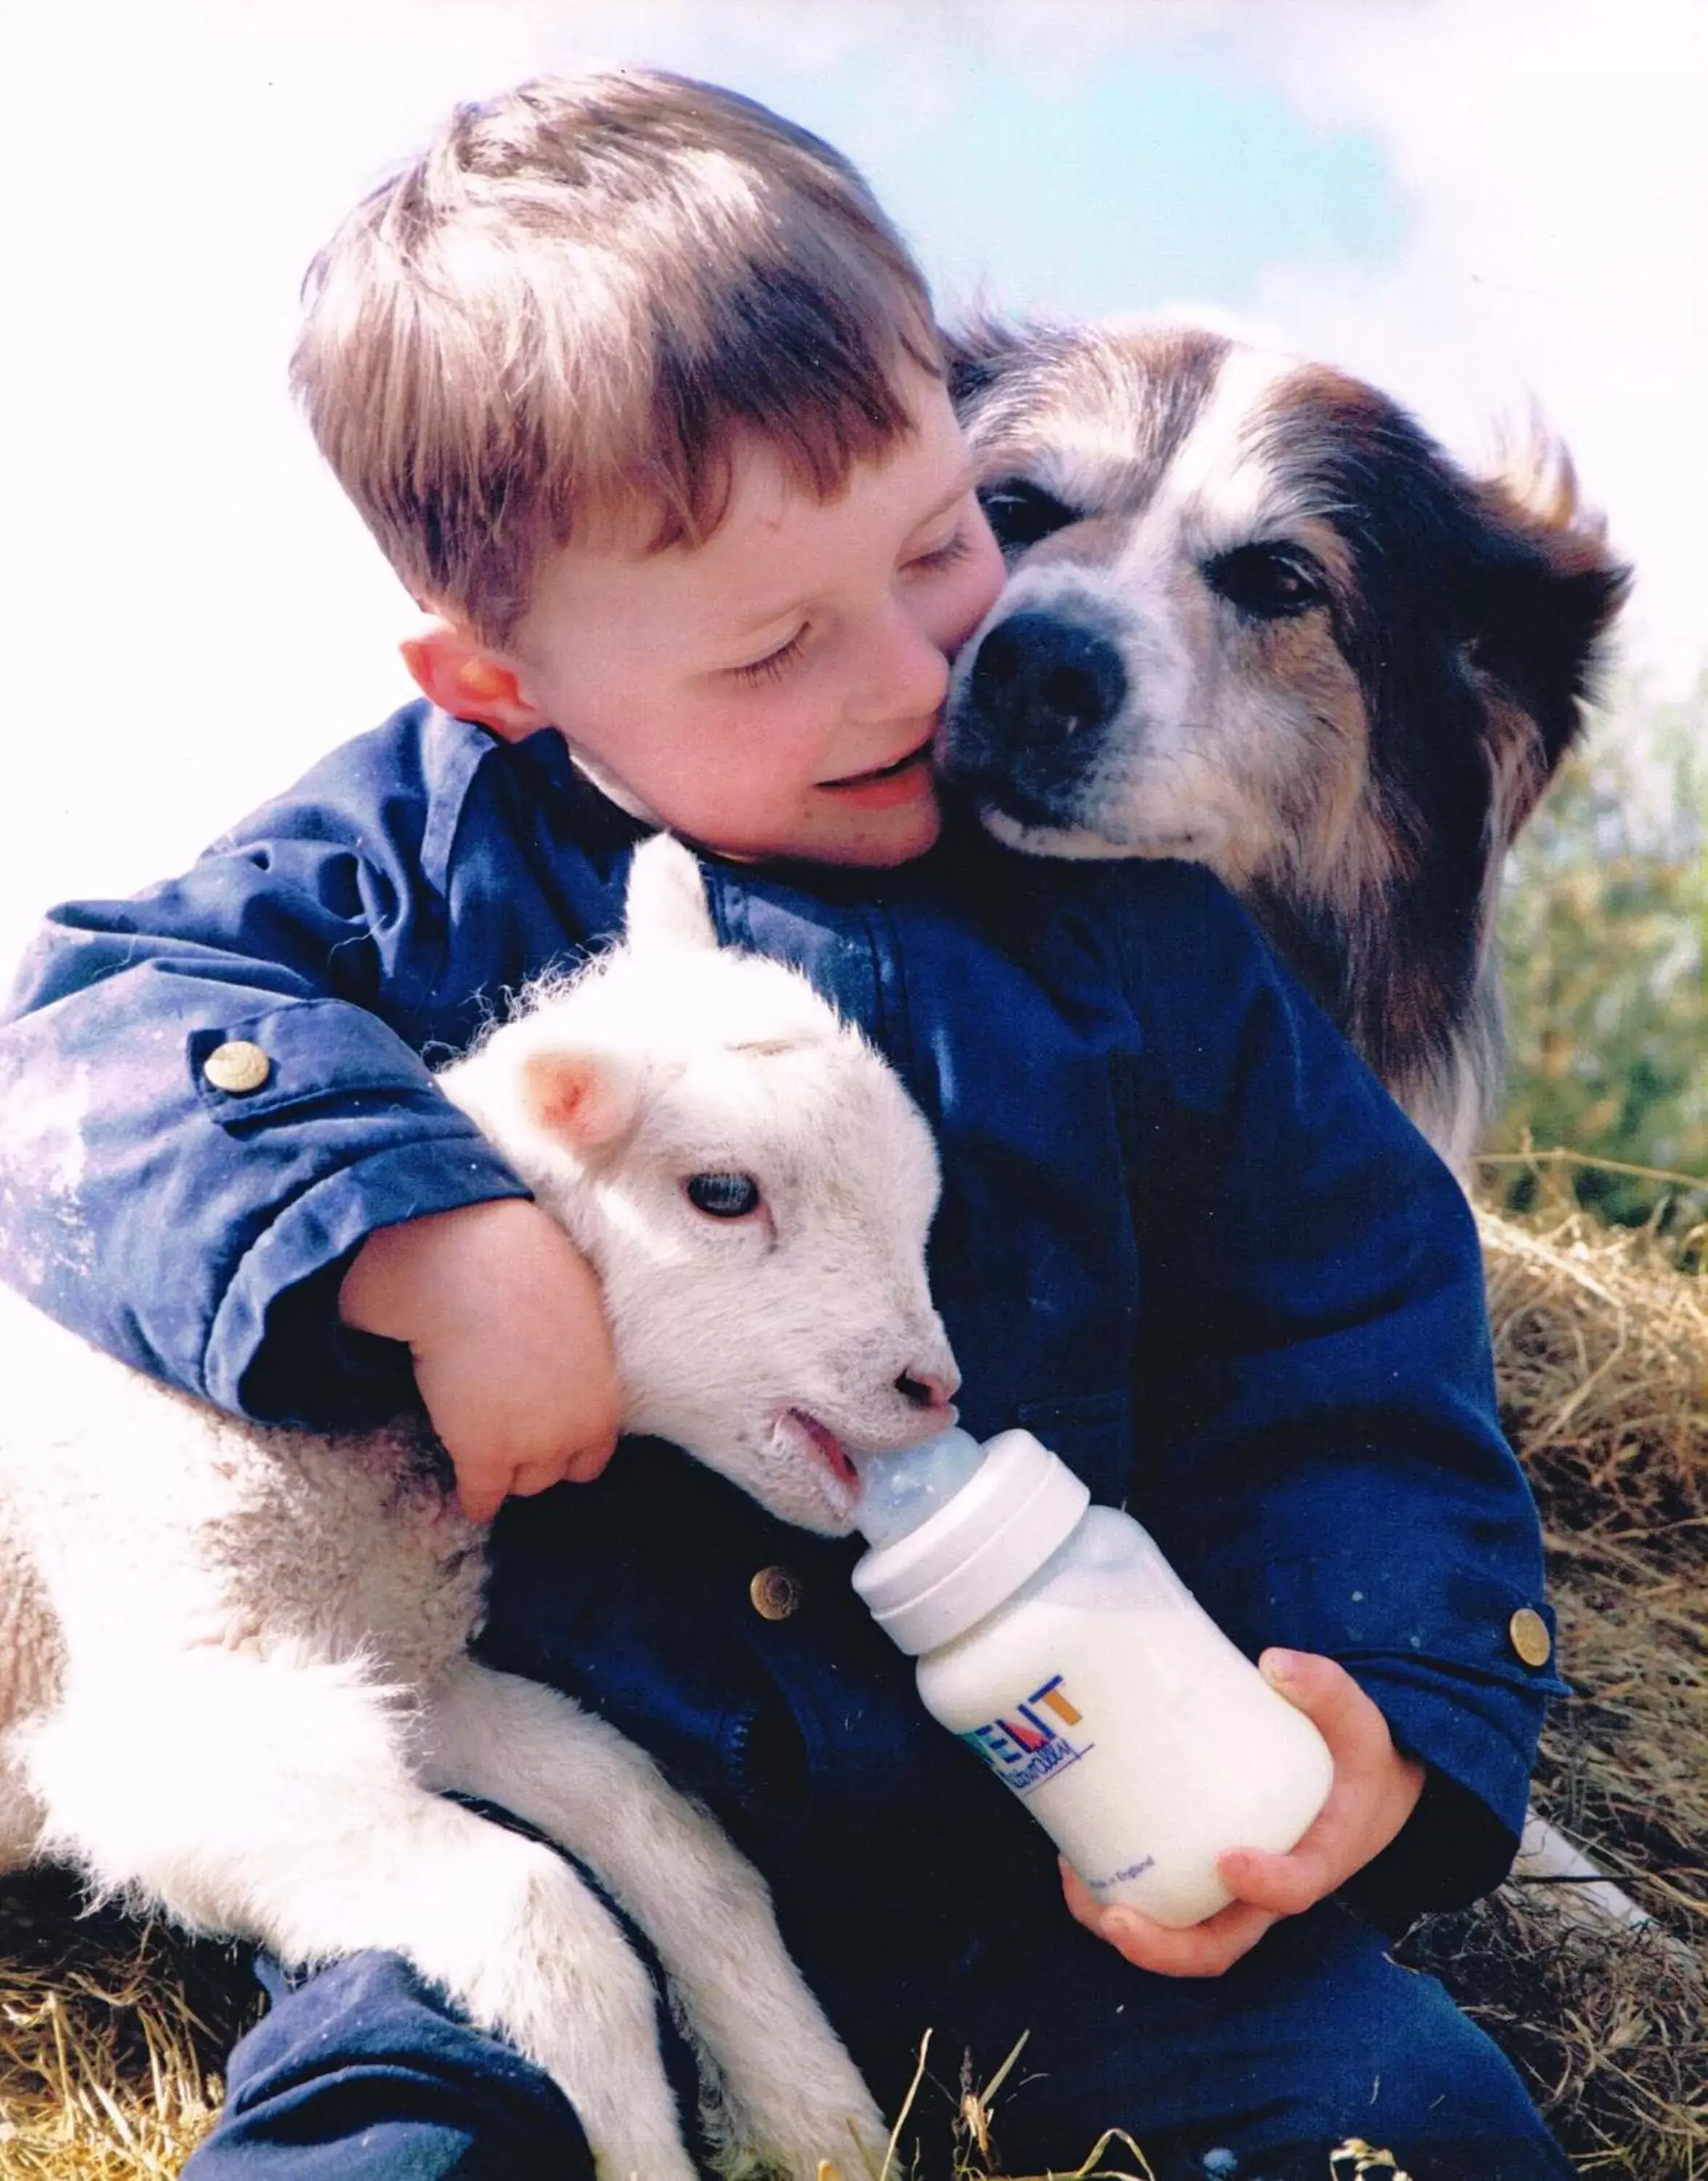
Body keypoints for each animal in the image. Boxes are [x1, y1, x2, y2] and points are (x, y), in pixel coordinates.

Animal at [0, 838, 959, 2181]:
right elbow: (538, 1915)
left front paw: (815, 2121)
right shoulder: (175, 1726)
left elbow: (666, 1834)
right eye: (722, 1193)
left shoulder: (404, 1674)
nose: (933, 1388)